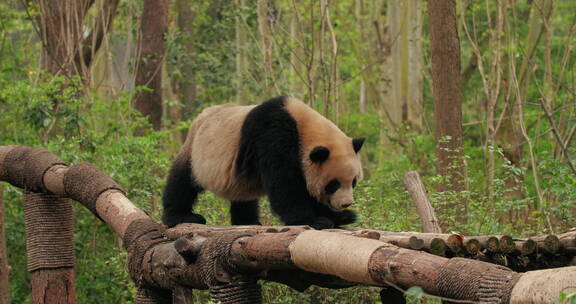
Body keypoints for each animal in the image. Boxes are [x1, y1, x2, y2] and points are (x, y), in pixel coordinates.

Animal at [163, 96, 364, 229]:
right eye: (333, 184)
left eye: (353, 182)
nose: (346, 204)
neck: (303, 125)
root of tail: (202, 115)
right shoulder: (272, 134)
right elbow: (285, 185)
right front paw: (313, 220)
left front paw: (343, 216)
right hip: (197, 151)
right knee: (182, 181)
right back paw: (181, 217)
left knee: (242, 194)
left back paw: (247, 221)